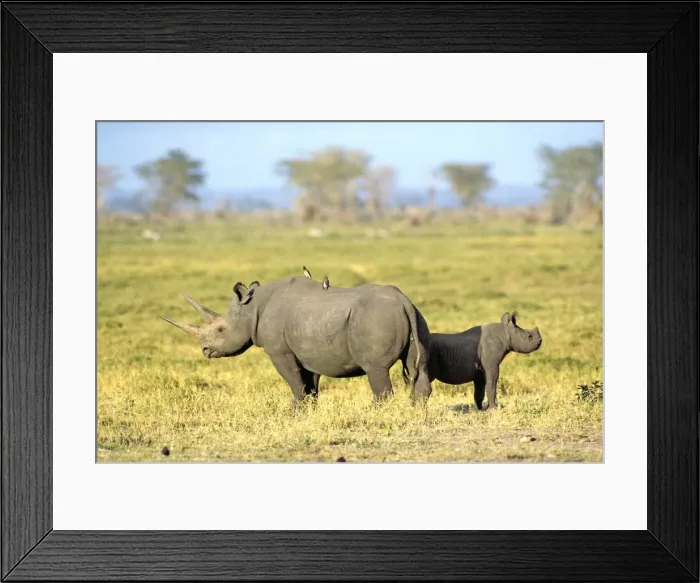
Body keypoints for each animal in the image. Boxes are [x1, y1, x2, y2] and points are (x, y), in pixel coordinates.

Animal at [162, 275, 433, 404]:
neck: (252, 308)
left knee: (375, 369)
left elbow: (293, 380)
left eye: (220, 330)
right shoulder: (308, 349)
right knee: (417, 366)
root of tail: (403, 301)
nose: (205, 350)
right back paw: (416, 411)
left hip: (374, 318)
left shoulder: (279, 351)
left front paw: (295, 411)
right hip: (416, 317)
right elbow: (309, 383)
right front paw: (308, 410)